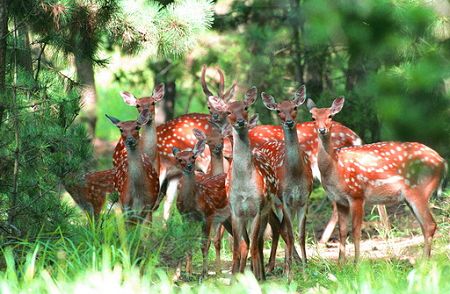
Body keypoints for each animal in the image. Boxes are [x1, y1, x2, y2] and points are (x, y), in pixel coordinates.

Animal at [171, 138, 230, 276]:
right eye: (179, 158)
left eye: (193, 157)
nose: (189, 166)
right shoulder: (185, 217)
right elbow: (189, 240)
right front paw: (188, 273)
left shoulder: (207, 215)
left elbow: (204, 243)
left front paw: (204, 272)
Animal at [207, 86, 274, 280]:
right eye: (228, 111)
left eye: (245, 107)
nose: (240, 121)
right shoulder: (236, 210)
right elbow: (238, 247)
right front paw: (235, 279)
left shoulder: (257, 208)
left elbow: (254, 246)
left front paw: (257, 279)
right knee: (248, 243)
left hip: (267, 210)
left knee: (258, 242)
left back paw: (261, 276)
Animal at [260, 85, 312, 274]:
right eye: (278, 110)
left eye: (294, 107)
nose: (289, 122)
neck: (295, 175)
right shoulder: (286, 200)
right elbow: (290, 233)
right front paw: (289, 271)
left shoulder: (304, 199)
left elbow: (301, 234)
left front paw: (305, 268)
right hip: (271, 201)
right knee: (278, 228)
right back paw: (272, 266)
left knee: (277, 228)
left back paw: (274, 264)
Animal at [306, 97, 446, 260]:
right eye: (313, 117)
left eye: (330, 116)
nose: (322, 130)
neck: (335, 167)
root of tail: (442, 162)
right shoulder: (339, 200)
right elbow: (342, 232)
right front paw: (340, 263)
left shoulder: (356, 194)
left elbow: (356, 231)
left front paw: (356, 262)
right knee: (425, 225)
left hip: (419, 190)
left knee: (430, 224)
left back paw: (423, 262)